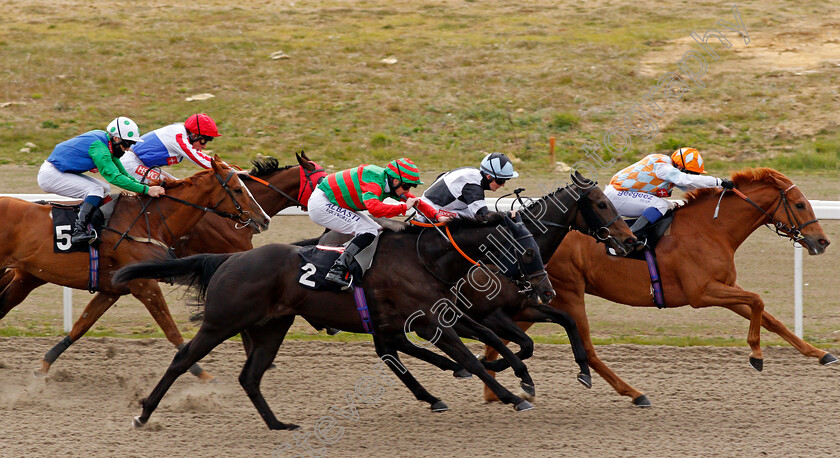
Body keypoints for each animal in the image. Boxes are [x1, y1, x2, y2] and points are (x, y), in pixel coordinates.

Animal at [0, 157, 270, 380]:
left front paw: (43, 367)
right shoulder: (146, 286)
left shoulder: (112, 290)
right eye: (237, 189)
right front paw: (203, 375)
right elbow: (171, 330)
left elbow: (80, 326)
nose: (264, 220)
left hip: (27, 277)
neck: (149, 221)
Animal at [115, 215, 568, 430]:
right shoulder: (429, 324)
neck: (425, 258)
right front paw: (513, 395)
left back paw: (278, 424)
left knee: (251, 376)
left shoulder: (426, 320)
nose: (545, 292)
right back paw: (143, 414)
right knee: (182, 360)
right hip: (221, 322)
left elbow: (481, 346)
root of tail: (229, 259)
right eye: (526, 251)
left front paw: (517, 380)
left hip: (271, 326)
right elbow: (472, 359)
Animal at [486, 167, 832, 404]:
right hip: (568, 292)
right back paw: (634, 393)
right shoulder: (702, 292)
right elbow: (758, 300)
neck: (711, 229)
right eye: (800, 205)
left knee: (504, 333)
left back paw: (496, 387)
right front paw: (757, 355)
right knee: (586, 348)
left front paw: (819, 353)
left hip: (545, 297)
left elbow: (770, 317)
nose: (822, 242)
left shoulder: (724, 288)